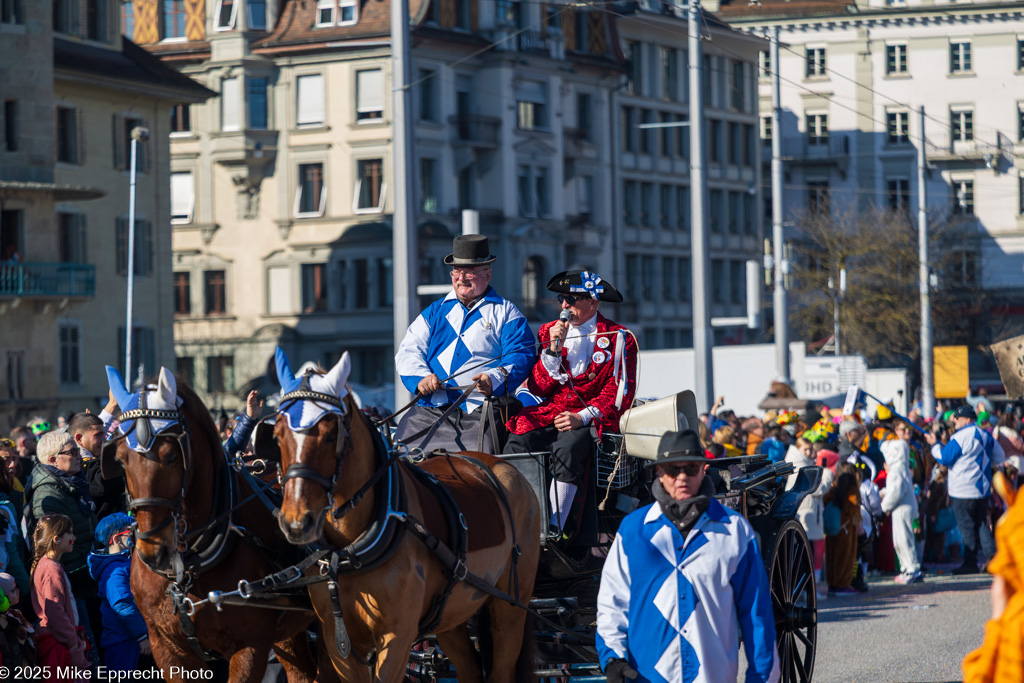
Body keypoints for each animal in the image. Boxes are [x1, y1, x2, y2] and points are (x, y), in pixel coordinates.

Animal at [102, 366, 331, 683]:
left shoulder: (250, 646)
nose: (153, 551)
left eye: (171, 457)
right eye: (121, 460)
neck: (188, 568)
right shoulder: (167, 648)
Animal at [270, 352, 544, 683]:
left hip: (510, 607)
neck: (352, 549)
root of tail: (501, 465)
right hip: (451, 613)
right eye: (276, 436)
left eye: (330, 435)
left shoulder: (397, 637)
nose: (296, 522)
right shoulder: (338, 644)